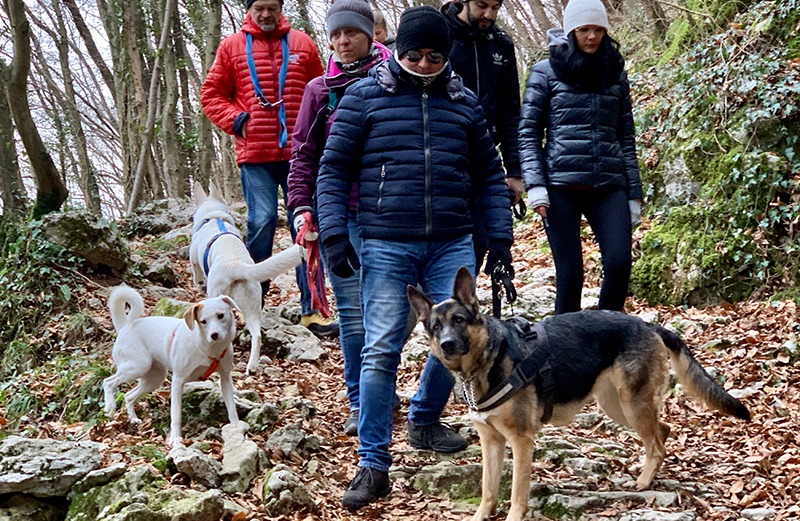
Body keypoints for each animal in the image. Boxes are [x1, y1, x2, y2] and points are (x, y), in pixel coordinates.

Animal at [406, 268, 752, 520]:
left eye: (459, 320)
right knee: (663, 430)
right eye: (435, 327)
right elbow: (488, 490)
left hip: (632, 404)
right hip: (617, 405)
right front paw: (480, 516)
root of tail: (647, 324)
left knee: (656, 441)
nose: (448, 344)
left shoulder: (520, 441)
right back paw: (648, 474)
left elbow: (517, 493)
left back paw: (643, 481)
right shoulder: (491, 442)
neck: (487, 361)